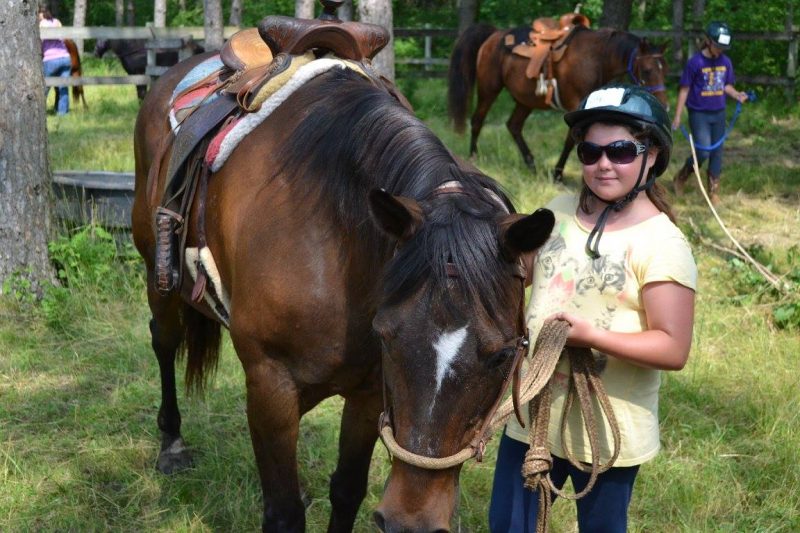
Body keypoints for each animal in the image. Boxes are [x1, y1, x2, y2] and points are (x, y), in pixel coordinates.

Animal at [132, 50, 555, 531]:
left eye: (503, 355)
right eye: (389, 336)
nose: (410, 523)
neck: (335, 245)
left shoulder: (369, 395)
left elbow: (347, 491)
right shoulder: (270, 386)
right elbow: (284, 512)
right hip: (159, 277)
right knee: (164, 340)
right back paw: (171, 443)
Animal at [448, 23, 668, 180]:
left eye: (664, 68)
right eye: (647, 70)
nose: (664, 104)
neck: (596, 58)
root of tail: (494, 35)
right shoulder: (574, 106)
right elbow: (571, 141)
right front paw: (558, 173)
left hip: (526, 100)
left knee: (514, 125)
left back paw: (531, 164)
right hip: (488, 90)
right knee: (477, 120)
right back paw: (474, 156)